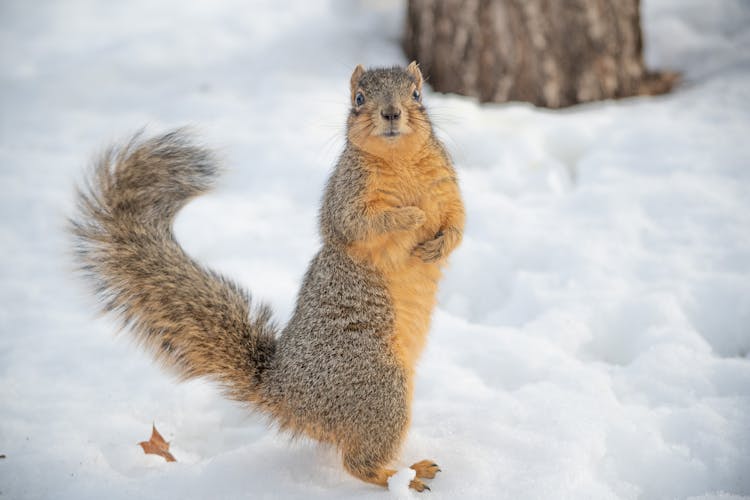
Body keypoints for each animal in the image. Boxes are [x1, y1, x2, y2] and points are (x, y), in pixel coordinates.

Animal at [73, 62, 468, 492]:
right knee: (358, 463)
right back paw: (404, 476)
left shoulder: (447, 187)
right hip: (378, 385)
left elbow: (459, 222)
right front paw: (409, 216)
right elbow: (358, 225)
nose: (392, 113)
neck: (399, 159)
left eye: (416, 94)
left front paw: (440, 244)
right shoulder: (345, 198)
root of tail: (282, 393)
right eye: (359, 98)